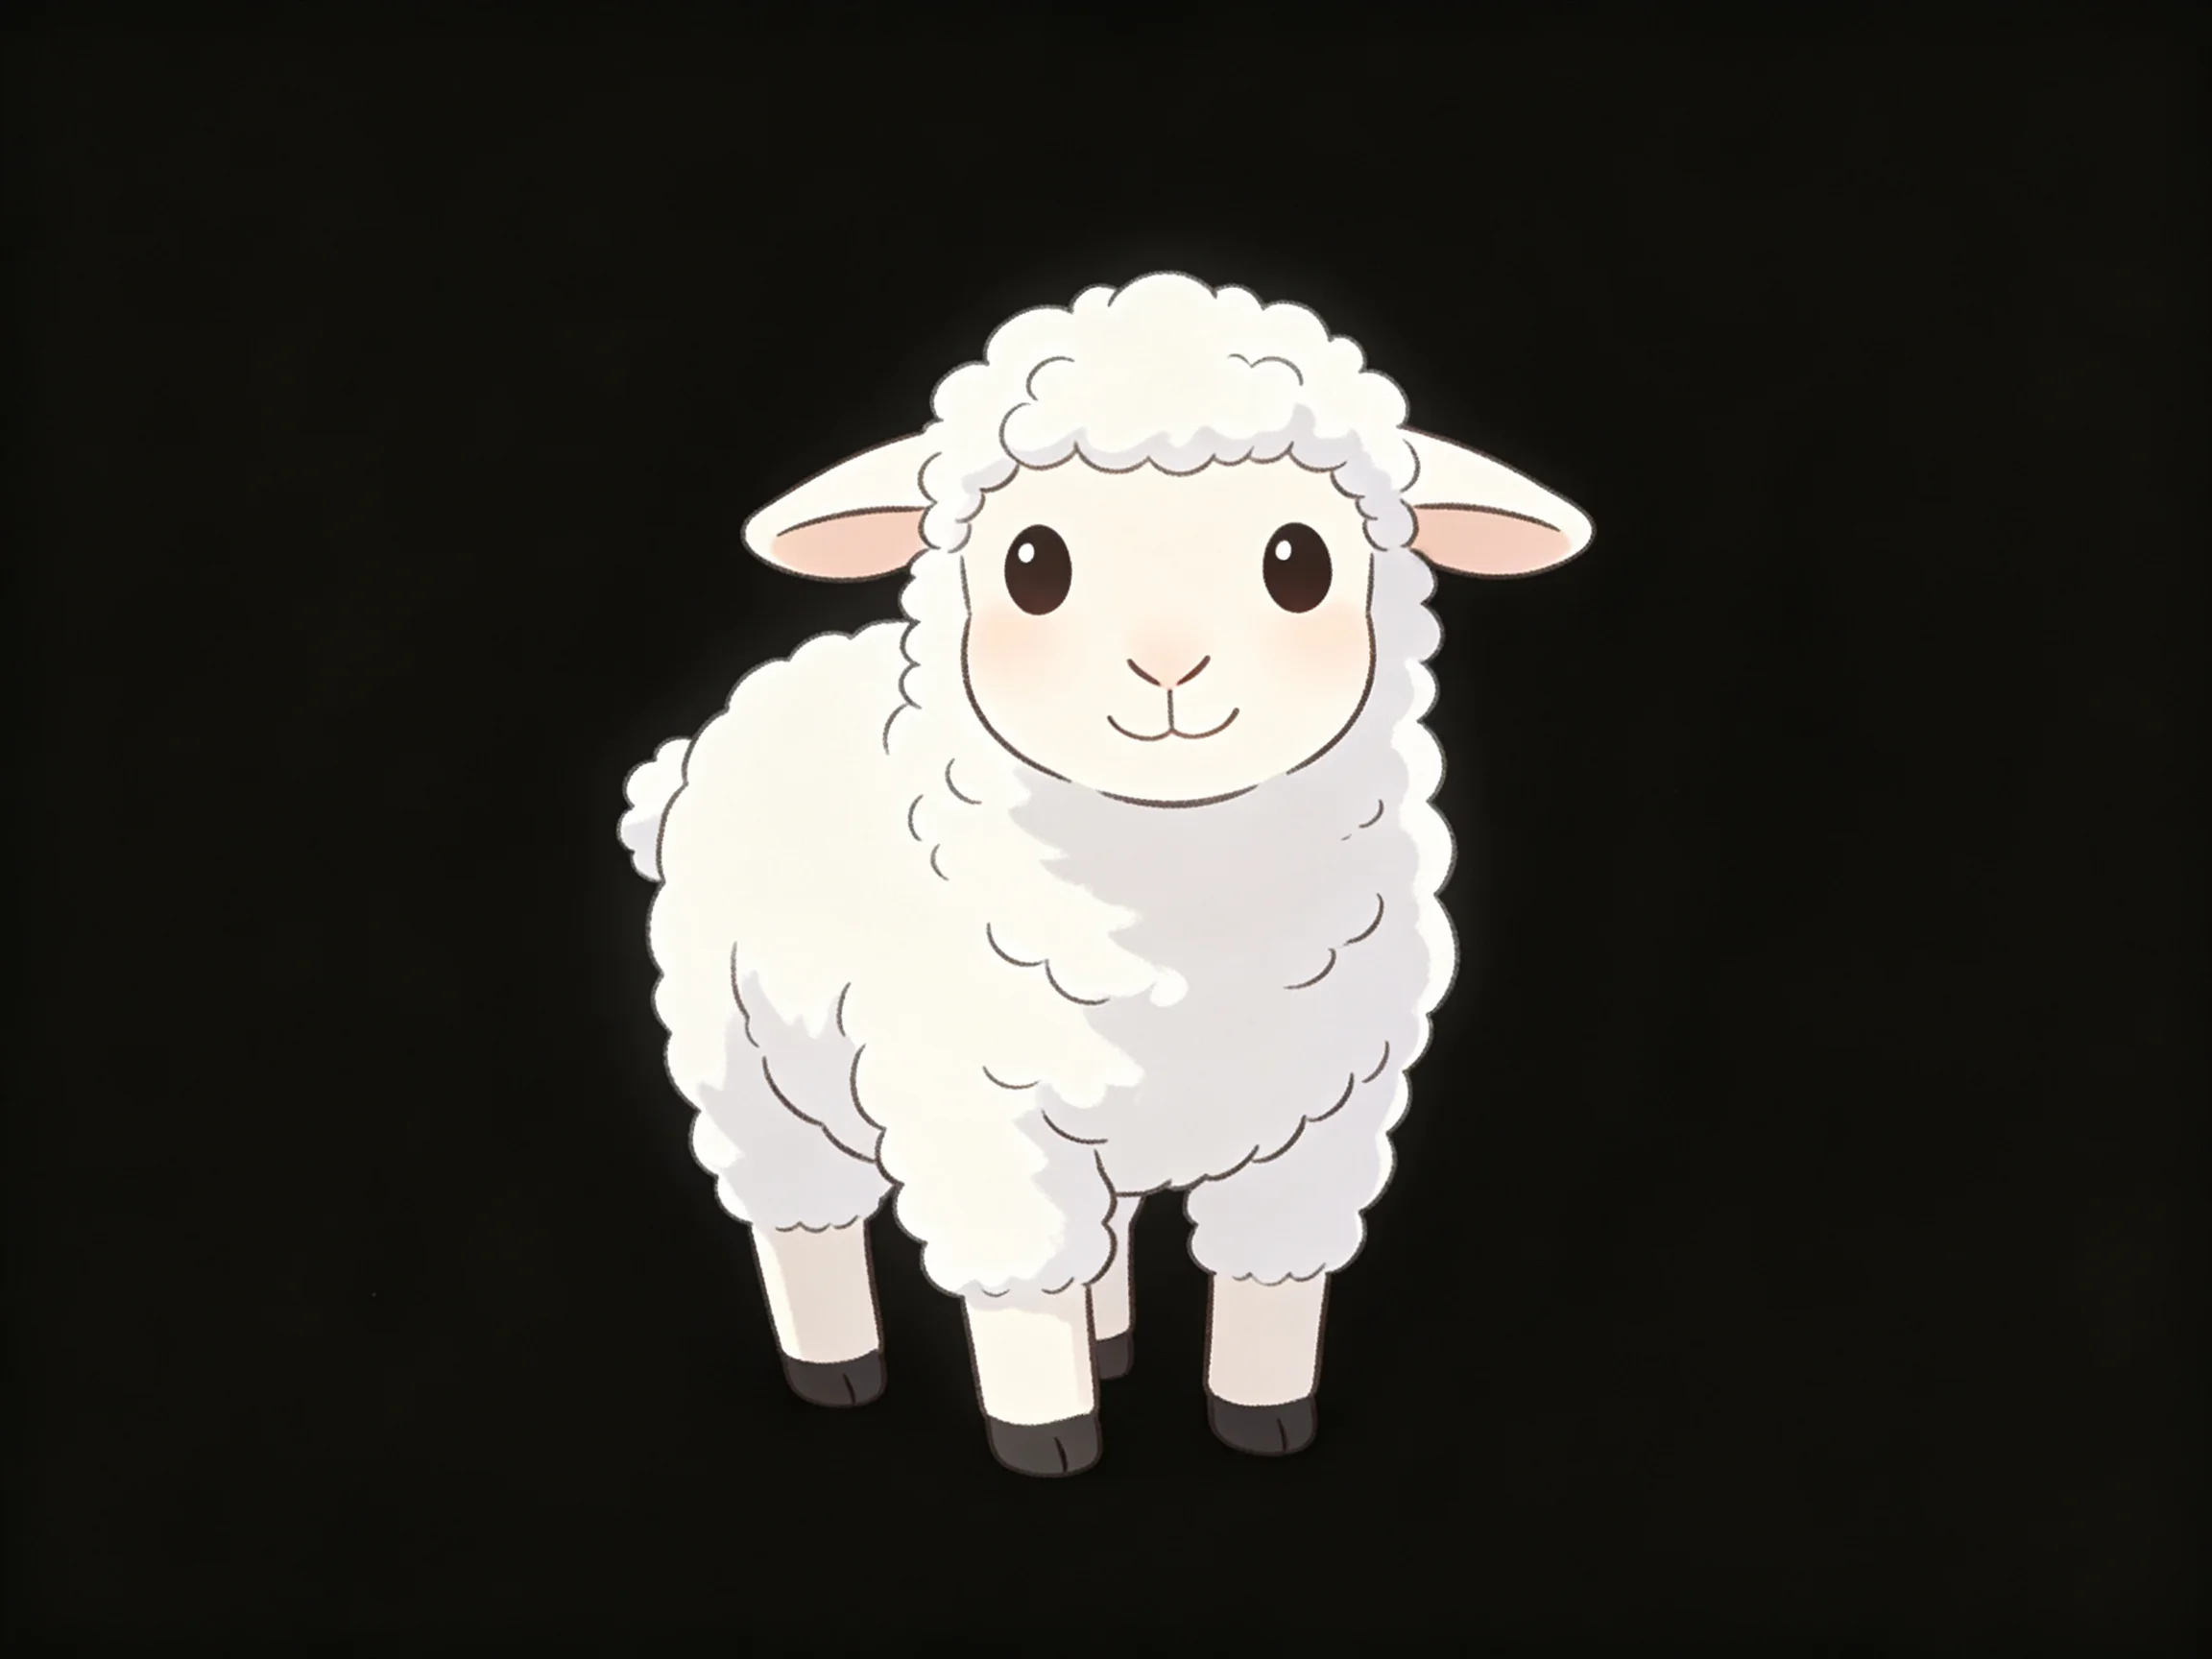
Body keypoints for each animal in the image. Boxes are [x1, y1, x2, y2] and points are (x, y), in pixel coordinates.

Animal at [618, 272, 1591, 1476]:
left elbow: (1273, 1277)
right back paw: (837, 1367)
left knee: (1108, 1230)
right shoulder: (982, 1121)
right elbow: (1021, 1285)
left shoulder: (1322, 1118)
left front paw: (1262, 1418)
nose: (1168, 666)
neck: (1182, 906)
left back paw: (1113, 1338)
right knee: (802, 1209)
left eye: (1299, 563)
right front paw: (1046, 1431)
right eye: (1032, 565)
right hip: (742, 1060)